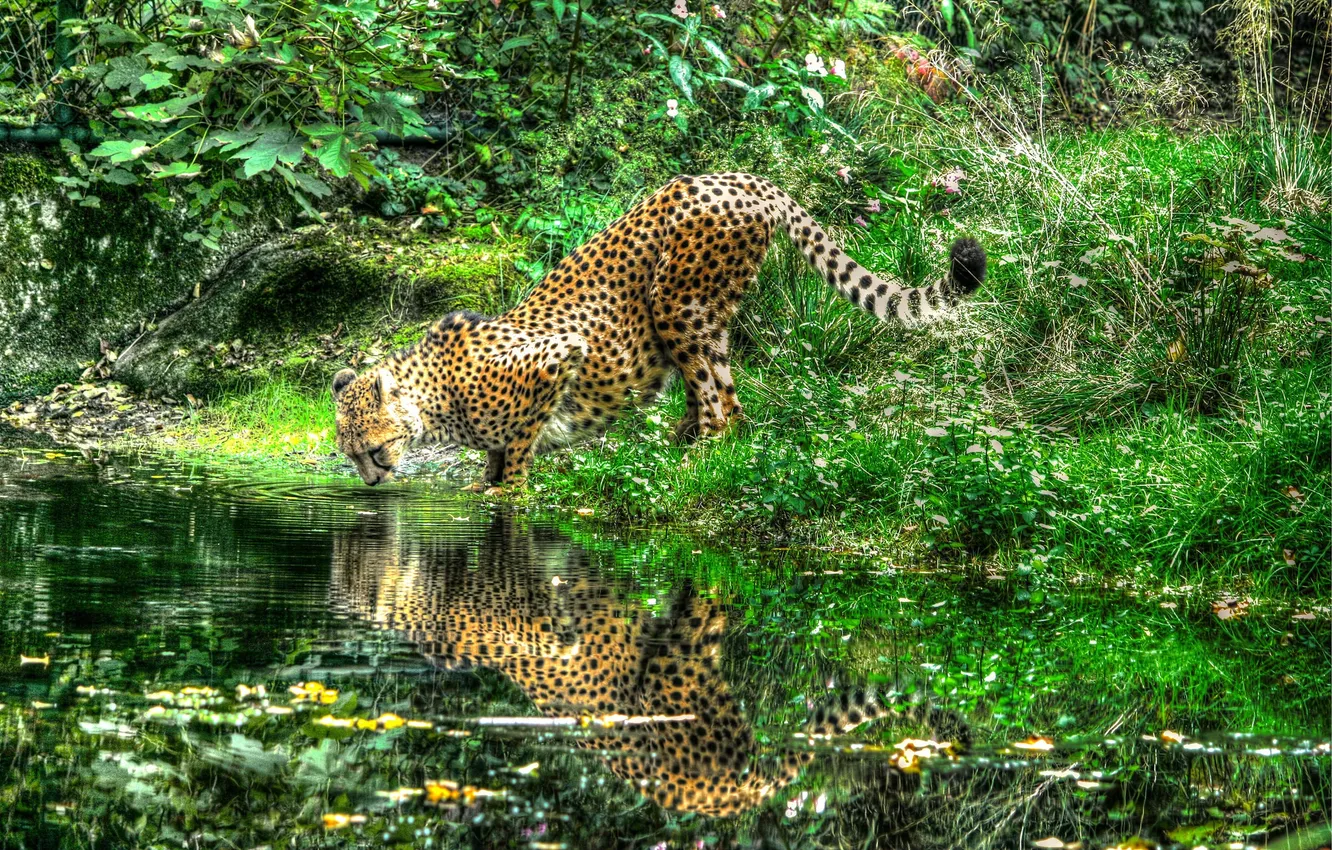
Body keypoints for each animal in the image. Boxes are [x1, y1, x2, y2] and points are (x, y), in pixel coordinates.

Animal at [331, 172, 987, 488]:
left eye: (375, 450)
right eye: (351, 455)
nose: (372, 482)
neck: (435, 396)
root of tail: (739, 177)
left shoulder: (557, 357)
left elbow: (515, 456)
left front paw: (501, 490)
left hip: (677, 302)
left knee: (724, 407)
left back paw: (690, 460)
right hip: (695, 317)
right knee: (723, 398)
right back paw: (678, 443)